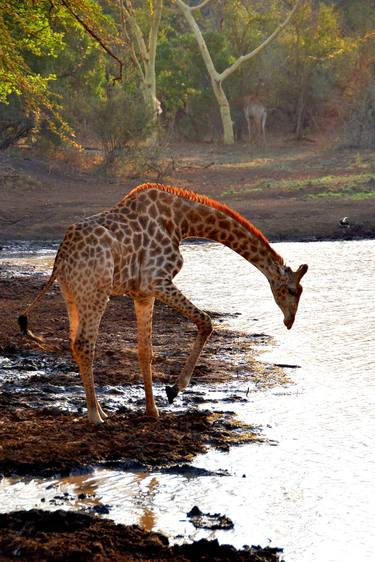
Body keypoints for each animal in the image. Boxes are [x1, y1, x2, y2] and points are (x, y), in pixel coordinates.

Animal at [18, 182, 308, 422]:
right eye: (293, 290)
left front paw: (152, 410)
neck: (182, 222)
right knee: (84, 344)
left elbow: (145, 351)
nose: (289, 321)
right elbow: (206, 321)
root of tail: (61, 257)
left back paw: (101, 410)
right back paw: (94, 416)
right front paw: (173, 390)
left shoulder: (143, 294)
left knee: (73, 343)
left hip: (72, 295)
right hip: (96, 292)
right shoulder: (157, 281)